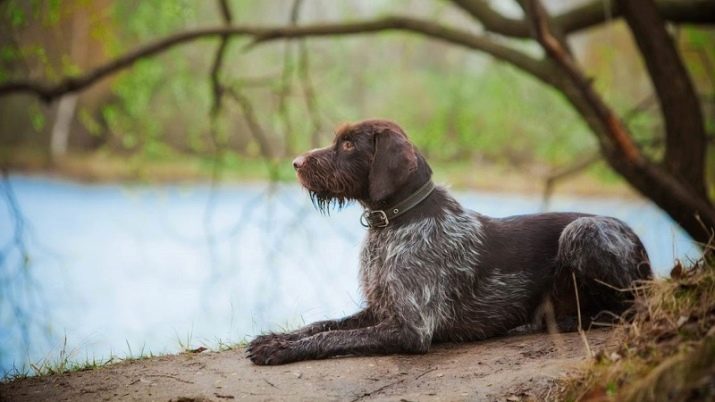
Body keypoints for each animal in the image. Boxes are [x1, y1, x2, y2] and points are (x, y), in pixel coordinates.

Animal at [248, 118, 656, 364]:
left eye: (349, 145)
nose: (296, 163)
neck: (394, 224)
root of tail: (640, 243)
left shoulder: (411, 329)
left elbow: (331, 339)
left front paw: (280, 350)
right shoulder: (380, 309)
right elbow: (322, 325)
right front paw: (277, 337)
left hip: (582, 231)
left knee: (633, 306)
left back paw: (576, 320)